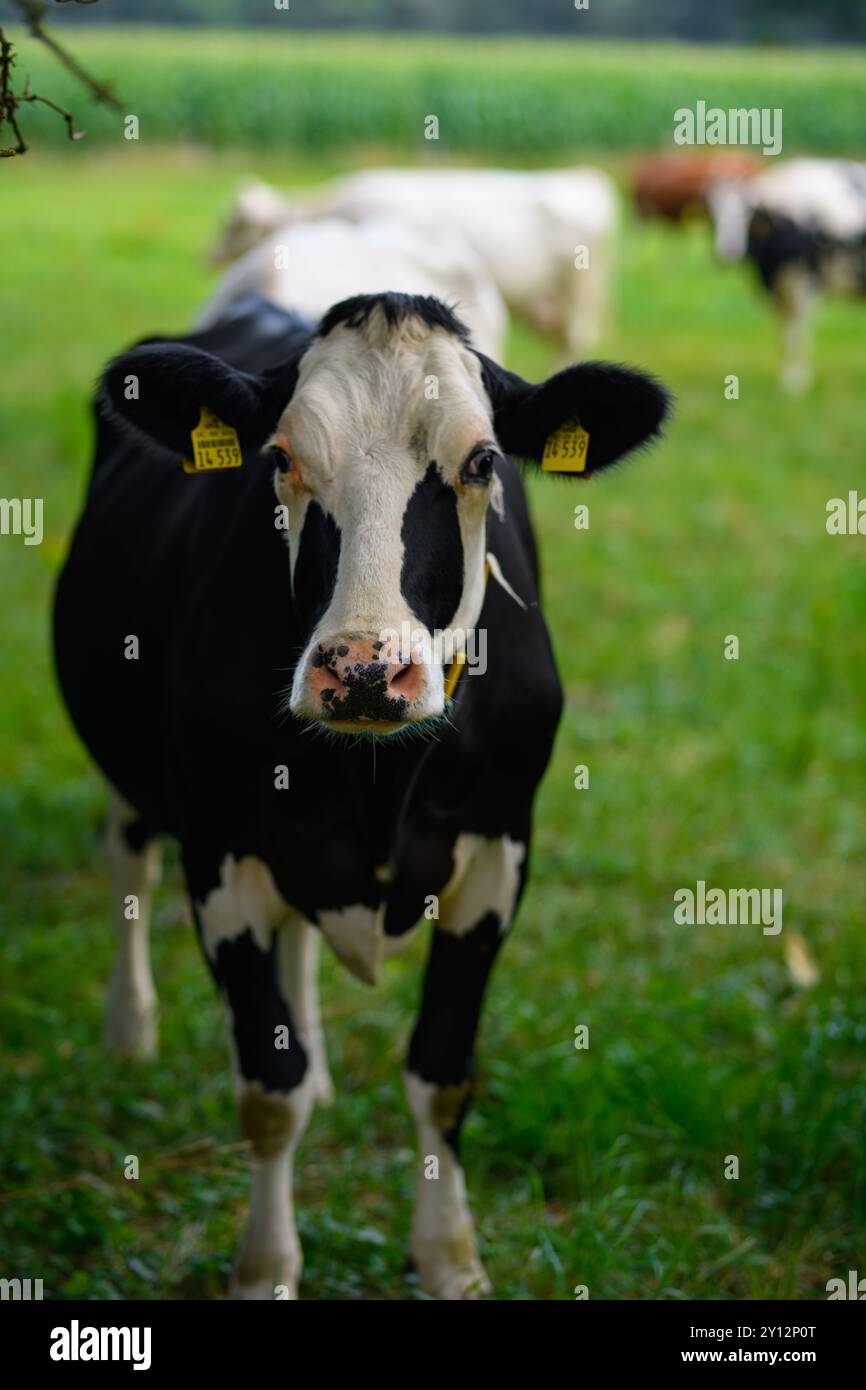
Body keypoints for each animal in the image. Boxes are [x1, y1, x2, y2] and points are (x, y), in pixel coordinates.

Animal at [54, 287, 675, 1295]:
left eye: (482, 461)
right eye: (280, 459)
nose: (363, 670)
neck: (377, 779)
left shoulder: (501, 852)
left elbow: (442, 1073)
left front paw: (451, 1258)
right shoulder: (219, 850)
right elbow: (268, 1095)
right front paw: (265, 1266)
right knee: (127, 856)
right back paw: (129, 1023)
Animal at [708, 159, 866, 394]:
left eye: (747, 215)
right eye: (715, 214)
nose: (728, 252)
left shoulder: (806, 283)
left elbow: (798, 333)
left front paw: (796, 382)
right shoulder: (780, 290)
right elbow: (783, 334)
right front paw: (787, 377)